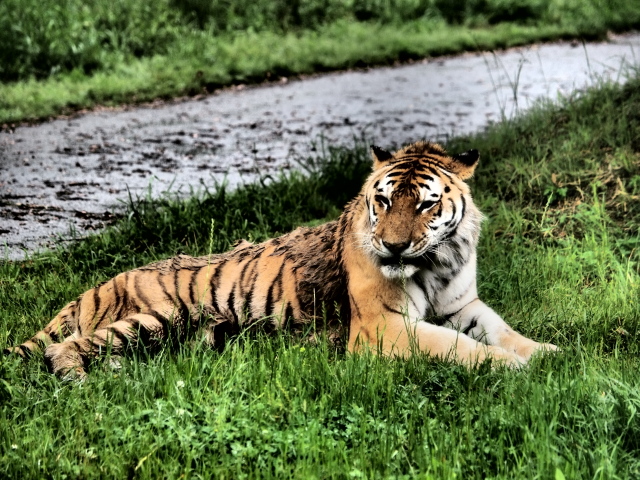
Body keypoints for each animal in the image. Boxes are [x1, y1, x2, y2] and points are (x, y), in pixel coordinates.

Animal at [5, 141, 556, 376]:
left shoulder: (464, 305)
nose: (394, 246)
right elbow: (456, 347)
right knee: (62, 349)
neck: (437, 263)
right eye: (382, 202)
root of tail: (98, 285)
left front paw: (548, 352)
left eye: (425, 204)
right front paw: (511, 368)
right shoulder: (383, 327)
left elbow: (502, 329)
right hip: (161, 315)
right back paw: (83, 380)